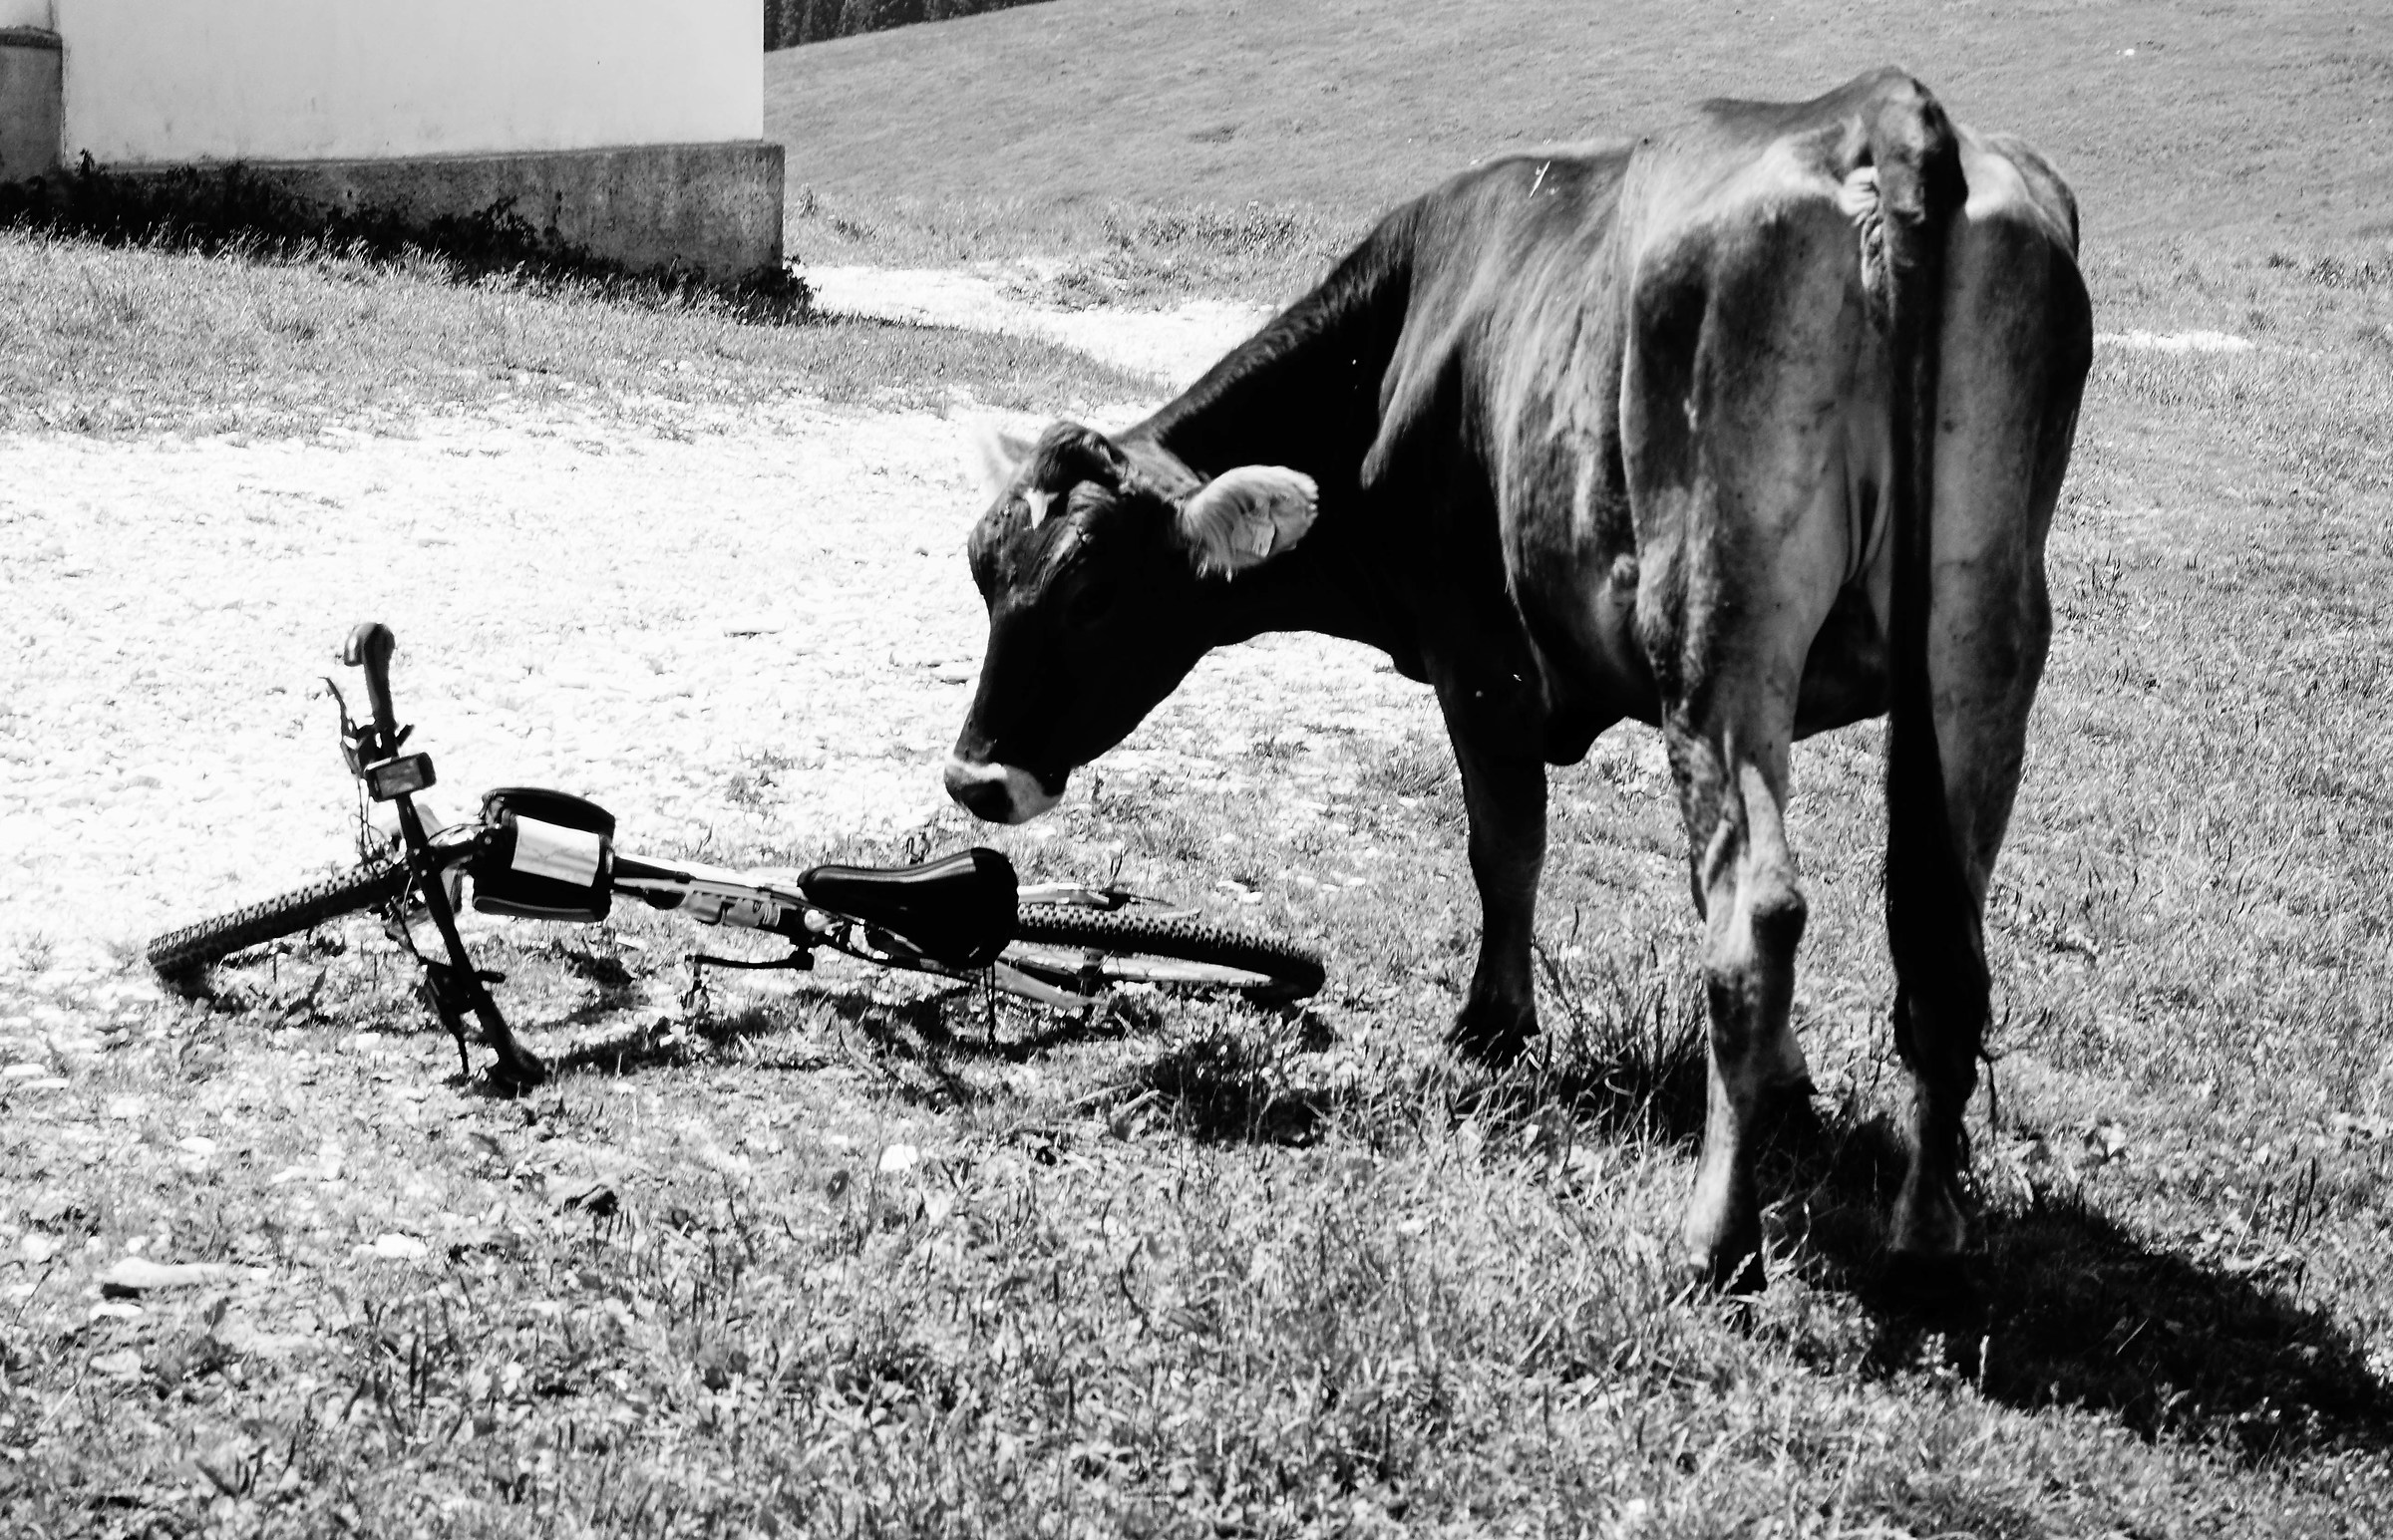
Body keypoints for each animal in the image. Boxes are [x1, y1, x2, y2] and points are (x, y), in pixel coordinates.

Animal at [943, 68, 2092, 1292]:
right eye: (982, 571)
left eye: (1093, 597)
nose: (974, 780)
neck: (1402, 354)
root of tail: (1876, 107)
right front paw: (1787, 1087)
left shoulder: (1478, 653)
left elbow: (1505, 848)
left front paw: (1491, 1027)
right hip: (1980, 624)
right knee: (1940, 929)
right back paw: (1928, 1231)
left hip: (1720, 611)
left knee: (1760, 912)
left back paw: (1715, 1238)